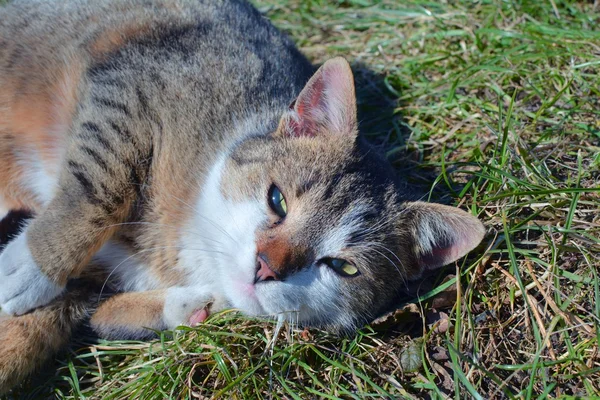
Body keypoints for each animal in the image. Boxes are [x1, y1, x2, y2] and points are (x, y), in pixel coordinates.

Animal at [0, 0, 486, 392]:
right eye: (277, 200)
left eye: (343, 267)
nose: (265, 267)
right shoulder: (131, 88)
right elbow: (97, 188)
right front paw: (32, 265)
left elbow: (92, 318)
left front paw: (187, 307)